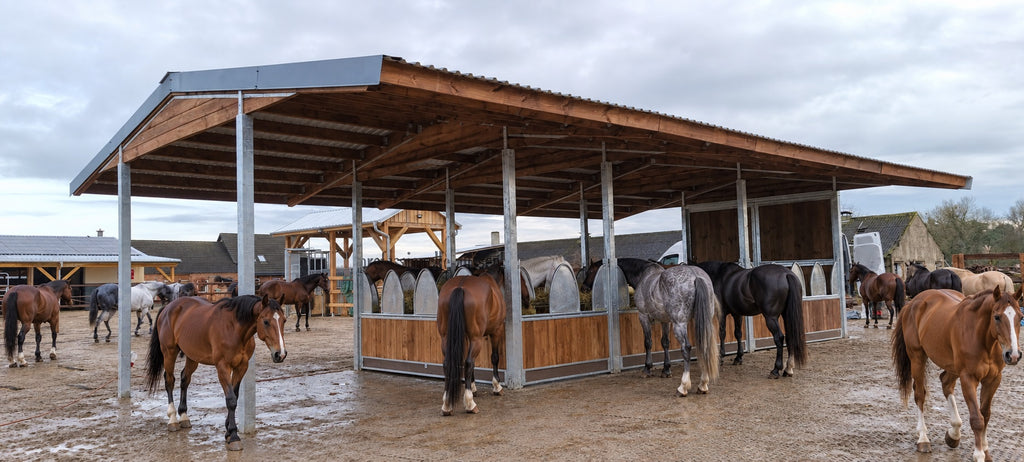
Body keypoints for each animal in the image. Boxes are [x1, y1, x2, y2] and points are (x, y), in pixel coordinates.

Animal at [144, 295, 287, 451]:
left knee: (184, 379)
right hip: (169, 352)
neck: (235, 329)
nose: (280, 354)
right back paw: (173, 419)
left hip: (192, 357)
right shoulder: (222, 367)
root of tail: (168, 307)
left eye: (284, 320)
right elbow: (231, 400)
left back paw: (184, 416)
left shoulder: (241, 366)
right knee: (169, 381)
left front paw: (228, 432)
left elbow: (235, 396)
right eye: (266, 321)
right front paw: (234, 436)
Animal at [437, 273, 507, 415]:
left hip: (446, 338)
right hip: (476, 339)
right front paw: (497, 386)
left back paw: (447, 405)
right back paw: (470, 404)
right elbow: (494, 357)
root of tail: (460, 287)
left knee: (448, 363)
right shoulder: (496, 331)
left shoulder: (466, 336)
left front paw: (474, 388)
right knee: (469, 362)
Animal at [581, 258, 719, 396]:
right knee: (704, 345)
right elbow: (665, 343)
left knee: (686, 348)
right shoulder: (665, 321)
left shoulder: (643, 317)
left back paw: (683, 387)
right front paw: (666, 370)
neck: (643, 274)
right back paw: (702, 385)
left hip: (680, 324)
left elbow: (648, 342)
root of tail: (695, 277)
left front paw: (647, 368)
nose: (584, 288)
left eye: (591, 271)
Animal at [891, 286, 1022, 461]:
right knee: (920, 395)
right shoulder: (968, 378)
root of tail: (912, 303)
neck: (982, 338)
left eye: (1021, 317)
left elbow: (985, 415)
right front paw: (979, 454)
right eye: (997, 317)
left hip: (953, 367)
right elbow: (977, 419)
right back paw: (923, 438)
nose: (1013, 355)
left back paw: (954, 433)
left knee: (946, 383)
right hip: (917, 358)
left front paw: (985, 450)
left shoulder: (993, 379)